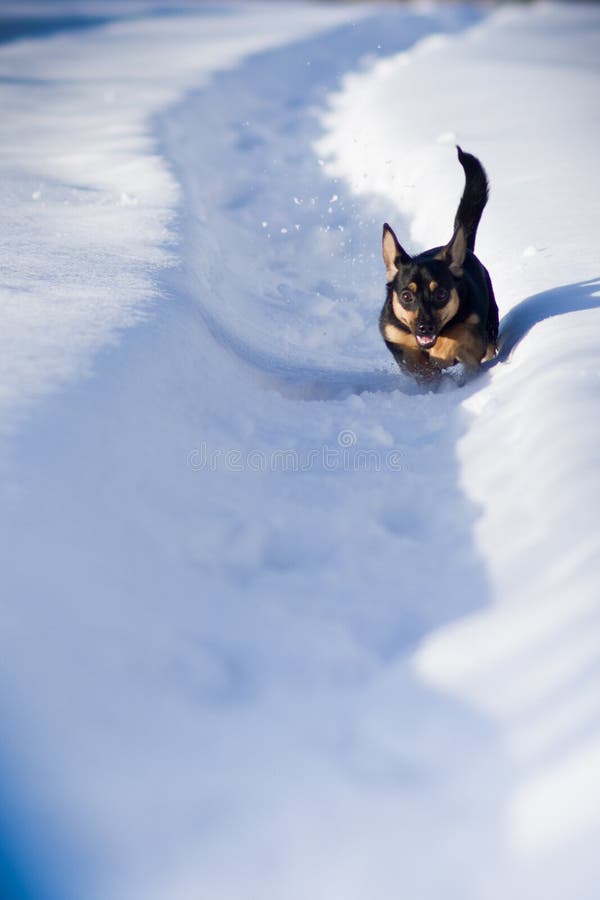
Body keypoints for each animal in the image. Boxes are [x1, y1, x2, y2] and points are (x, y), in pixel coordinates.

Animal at [382, 146, 500, 378]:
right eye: (406, 296)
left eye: (441, 294)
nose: (424, 328)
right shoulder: (394, 335)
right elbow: (412, 358)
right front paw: (426, 370)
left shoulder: (473, 331)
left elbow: (455, 334)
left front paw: (440, 353)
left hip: (490, 324)